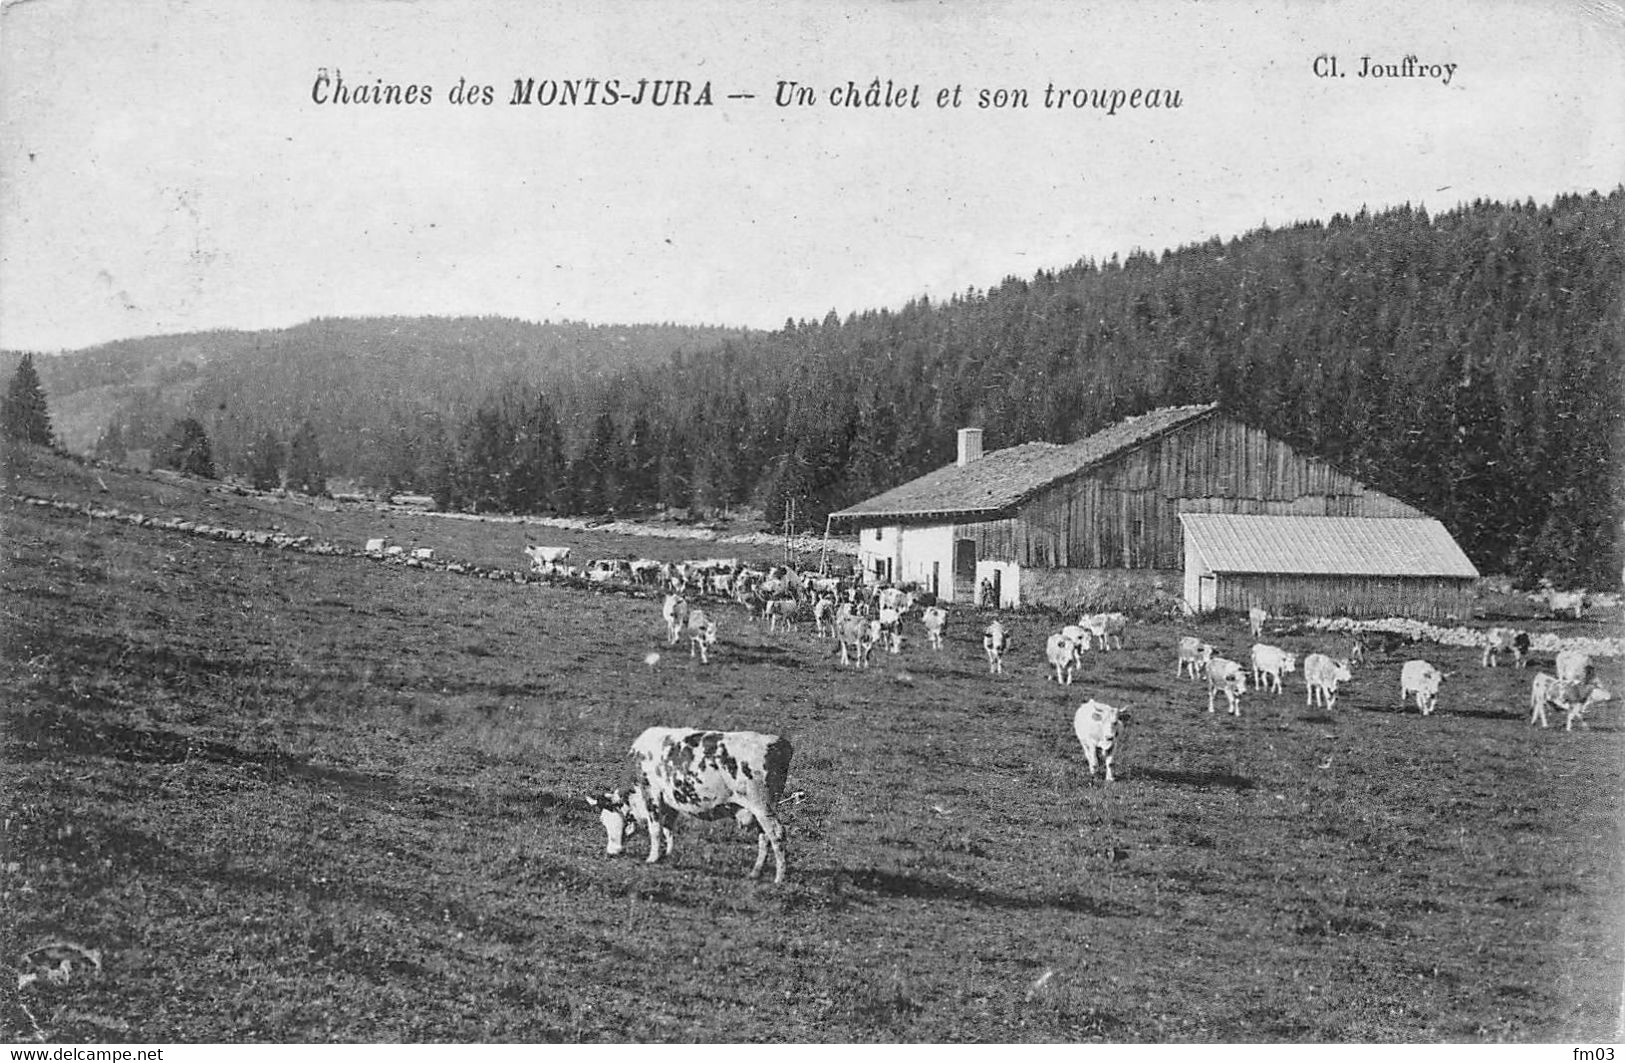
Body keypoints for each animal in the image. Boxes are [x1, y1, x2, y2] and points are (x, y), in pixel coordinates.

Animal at [585, 728, 793, 884]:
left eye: (606, 819)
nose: (611, 852)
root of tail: (778, 742)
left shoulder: (652, 793)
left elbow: (655, 829)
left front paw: (652, 857)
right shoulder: (670, 800)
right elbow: (668, 828)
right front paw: (667, 854)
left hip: (762, 806)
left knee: (776, 834)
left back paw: (780, 877)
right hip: (759, 811)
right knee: (764, 837)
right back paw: (755, 872)